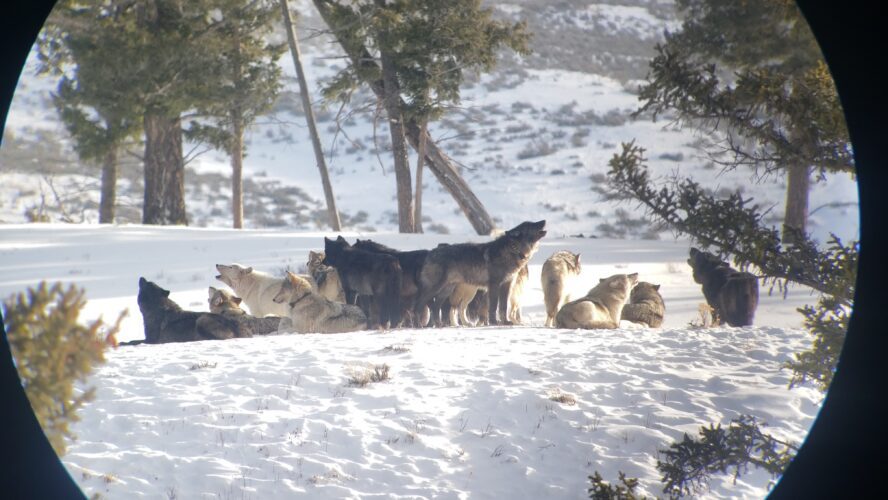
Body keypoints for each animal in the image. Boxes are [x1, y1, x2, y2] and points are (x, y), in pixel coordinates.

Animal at [418, 221, 548, 326]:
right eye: (531, 225)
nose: (544, 220)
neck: (512, 250)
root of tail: (431, 252)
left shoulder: (506, 286)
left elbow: (503, 307)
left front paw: (505, 322)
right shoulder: (494, 286)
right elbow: (494, 306)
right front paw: (494, 322)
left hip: (447, 290)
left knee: (436, 306)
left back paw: (438, 325)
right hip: (436, 289)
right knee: (420, 302)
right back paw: (420, 325)